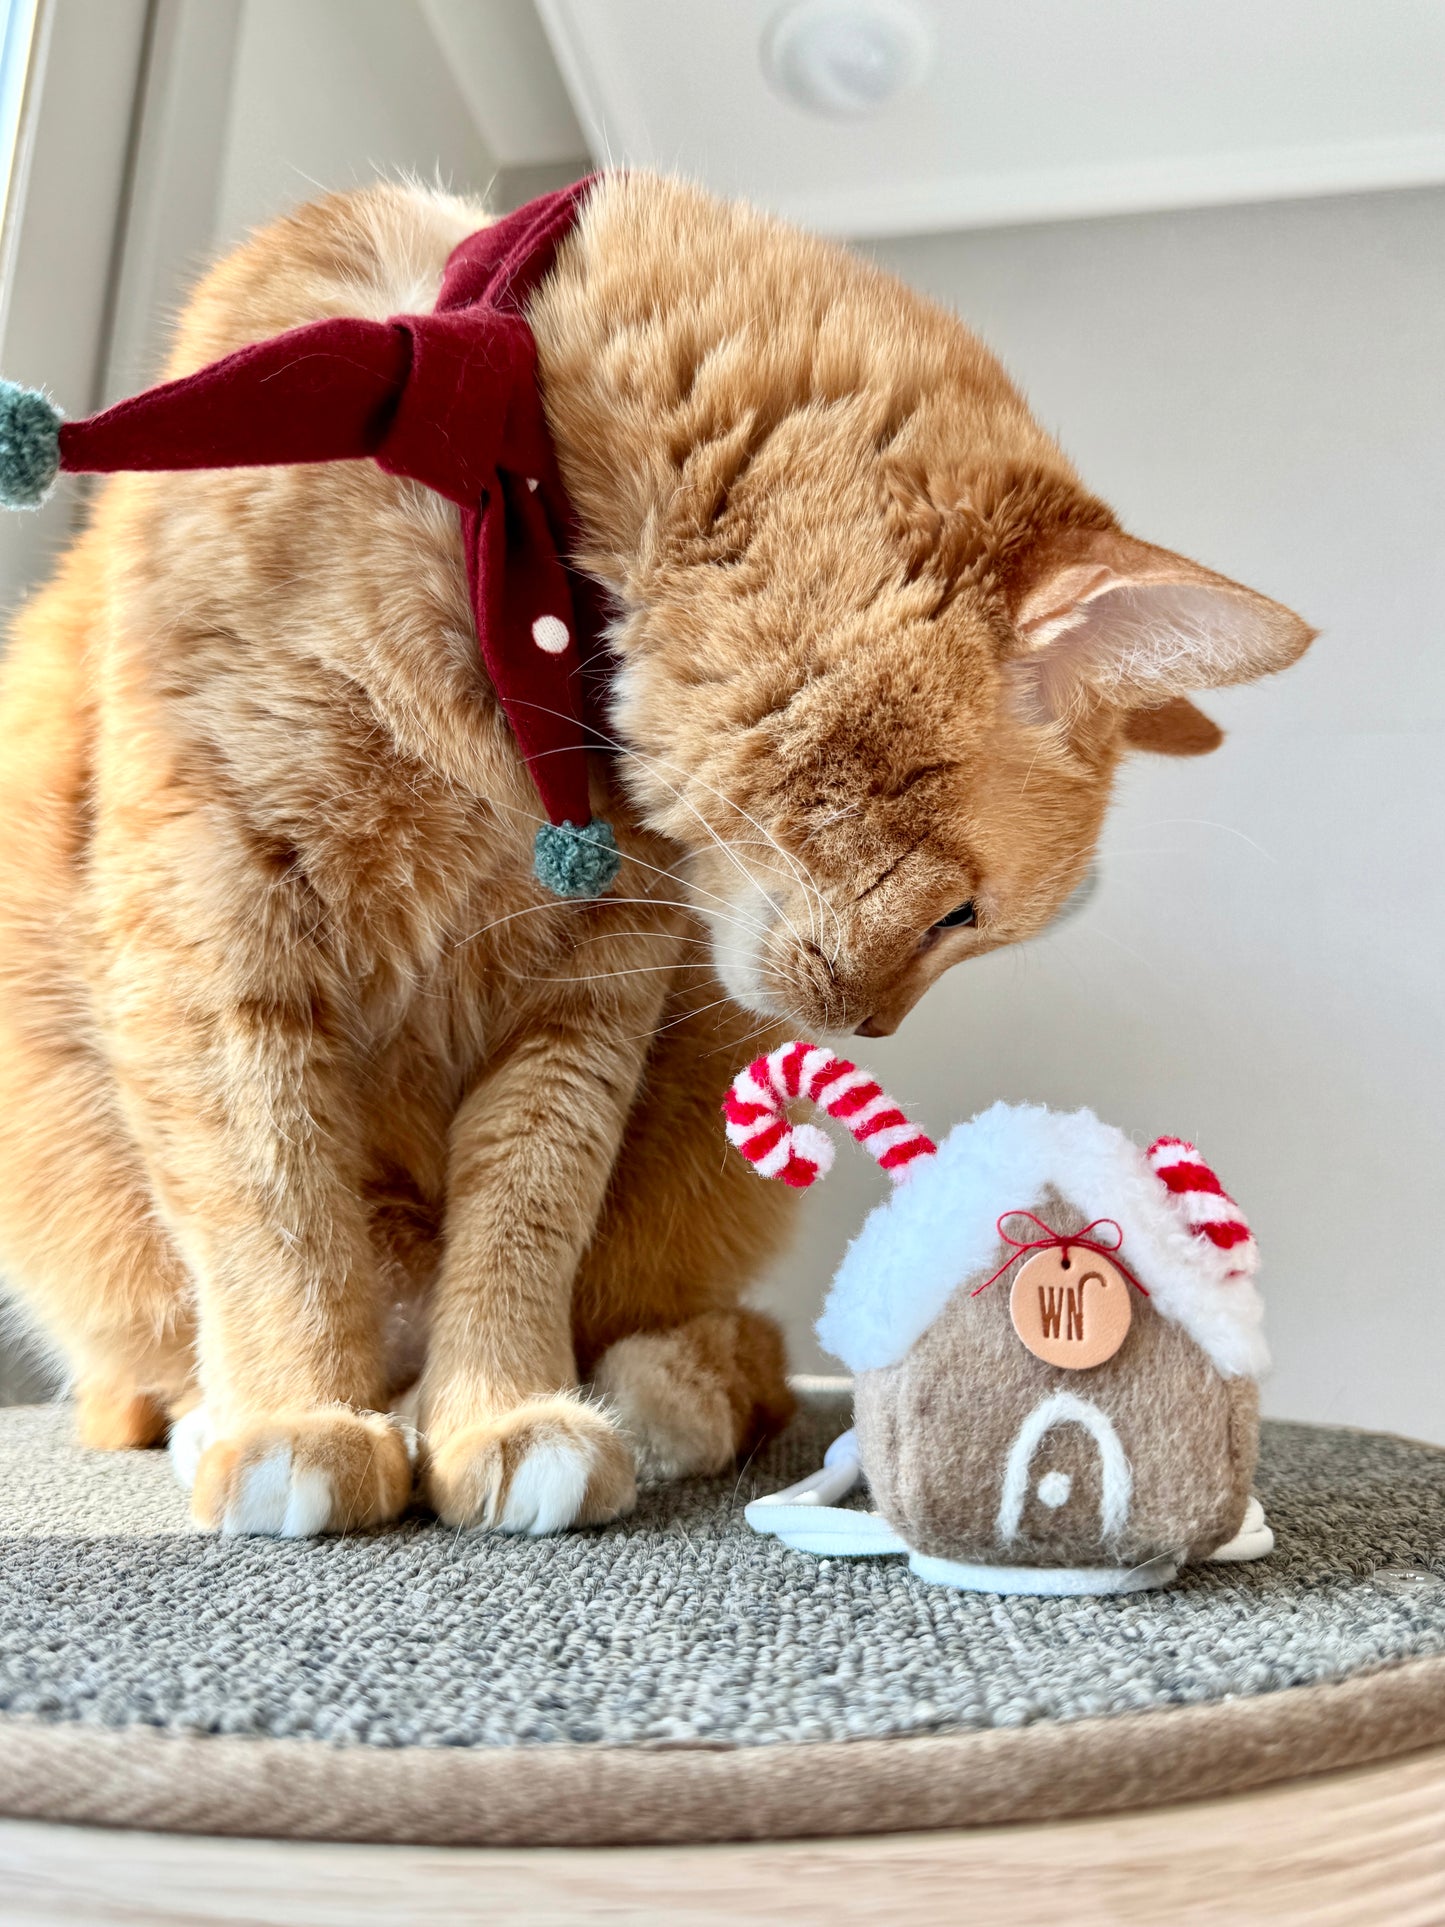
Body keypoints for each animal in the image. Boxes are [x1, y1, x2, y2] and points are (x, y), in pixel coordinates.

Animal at [0, 177, 1317, 1533]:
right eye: (960, 918)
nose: (873, 1031)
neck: (511, 516)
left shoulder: (588, 1002)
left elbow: (525, 1211)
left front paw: (502, 1414)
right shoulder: (215, 938)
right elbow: (279, 1214)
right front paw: (295, 1413)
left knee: (724, 1346)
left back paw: (629, 1400)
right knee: (145, 1372)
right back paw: (235, 1409)